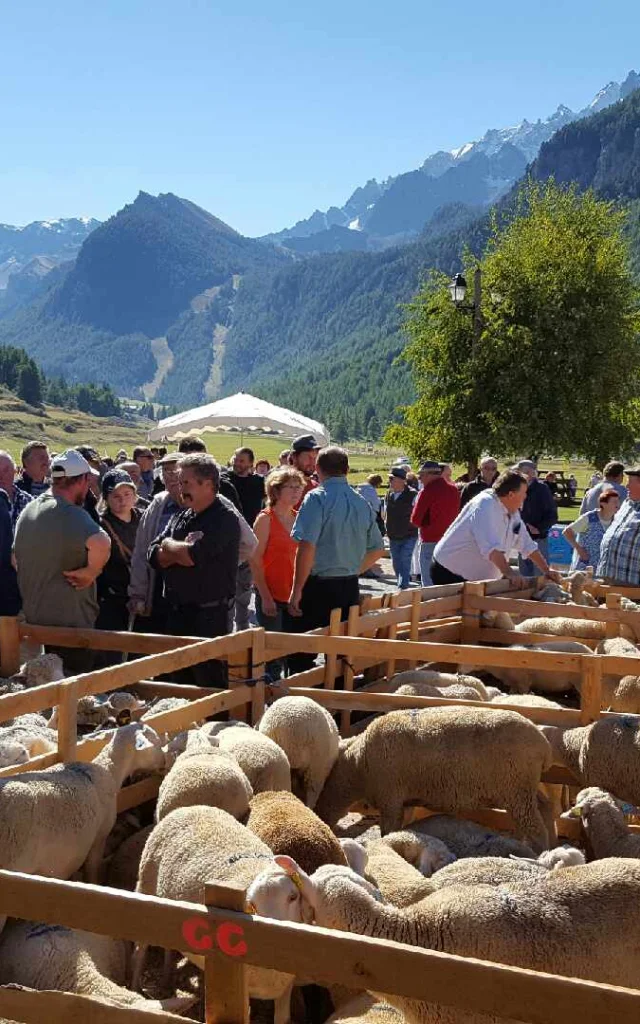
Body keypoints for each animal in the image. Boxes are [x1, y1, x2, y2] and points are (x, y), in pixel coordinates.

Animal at [315, 704, 552, 856]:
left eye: (323, 784)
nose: (318, 815)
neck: (358, 764)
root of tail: (543, 743)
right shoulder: (405, 800)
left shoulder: (390, 797)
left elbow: (388, 830)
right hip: (526, 788)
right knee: (546, 808)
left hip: (517, 789)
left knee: (536, 828)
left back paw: (540, 853)